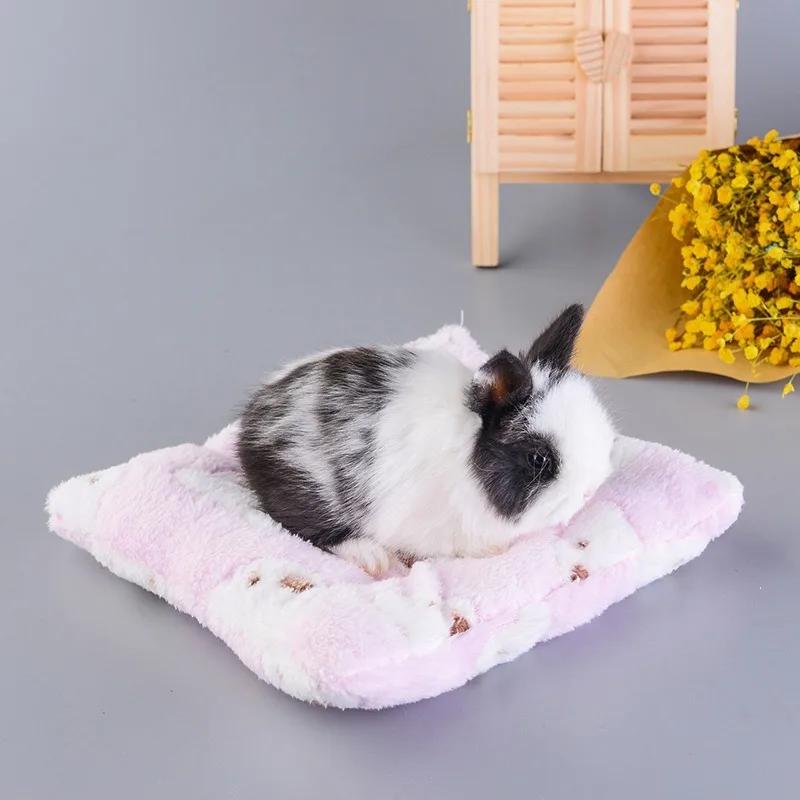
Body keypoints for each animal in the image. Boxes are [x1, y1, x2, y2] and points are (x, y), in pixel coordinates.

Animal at [237, 304, 615, 576]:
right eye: (539, 459)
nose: (589, 491)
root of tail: (250, 423)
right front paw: (493, 550)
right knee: (308, 529)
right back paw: (372, 557)